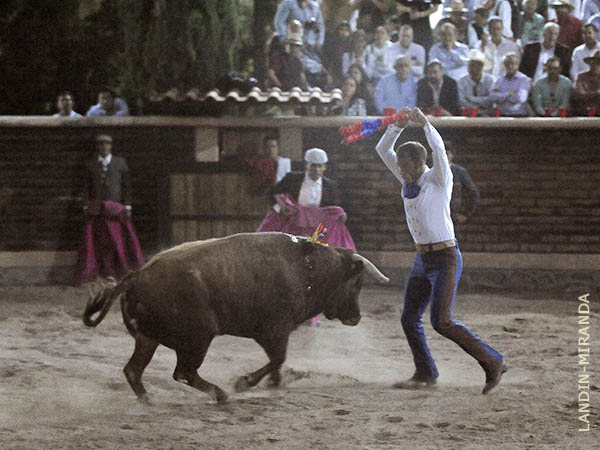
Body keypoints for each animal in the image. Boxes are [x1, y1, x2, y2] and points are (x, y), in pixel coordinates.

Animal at [83, 232, 390, 404]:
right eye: (357, 283)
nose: (356, 317)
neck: (308, 269)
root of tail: (137, 275)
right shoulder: (275, 331)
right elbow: (278, 358)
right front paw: (245, 382)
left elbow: (278, 362)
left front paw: (274, 384)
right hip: (199, 338)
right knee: (183, 372)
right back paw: (220, 394)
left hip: (148, 340)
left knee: (134, 370)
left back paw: (148, 399)